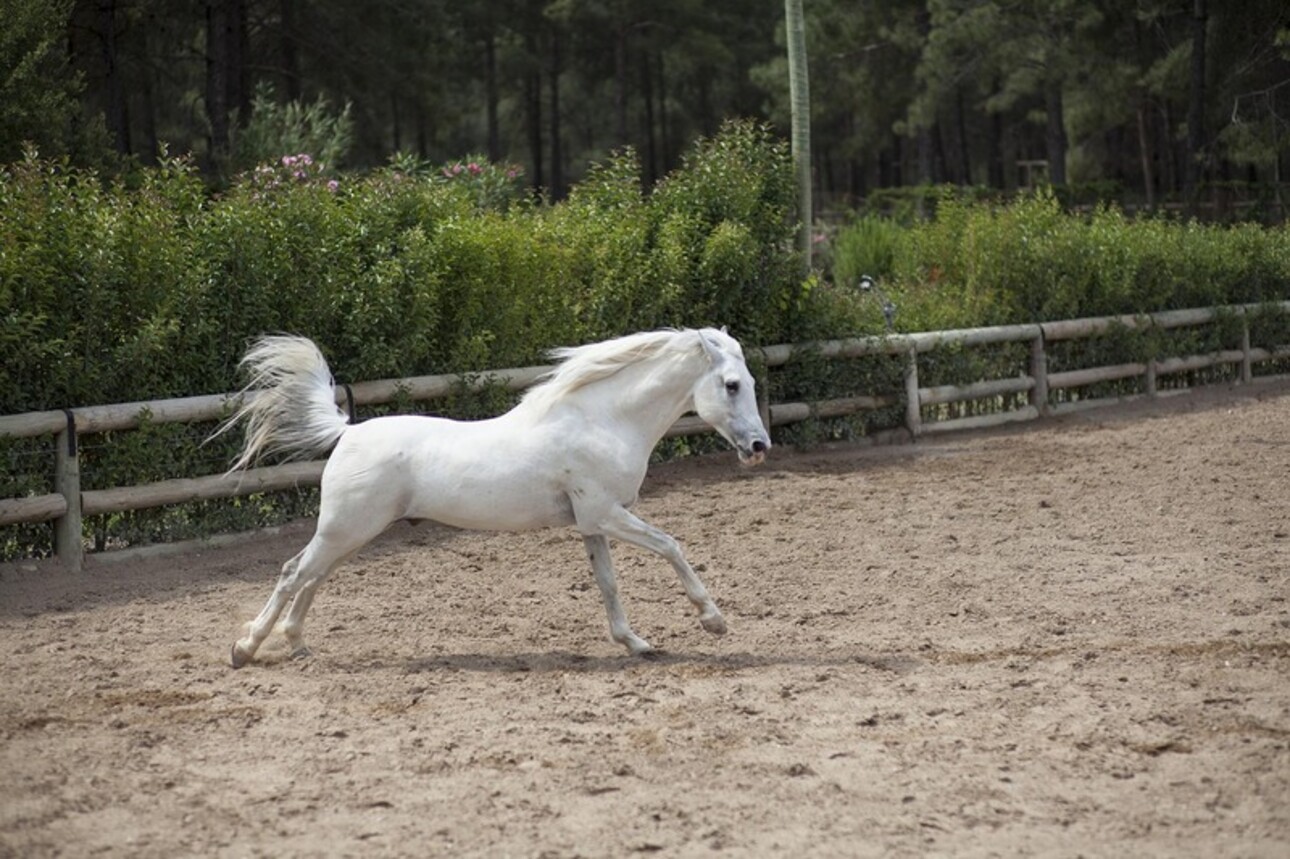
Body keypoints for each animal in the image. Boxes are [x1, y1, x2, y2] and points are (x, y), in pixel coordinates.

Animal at [216, 325, 768, 665]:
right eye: (732, 385)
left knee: (312, 577)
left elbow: (608, 584)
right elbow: (672, 546)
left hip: (350, 533)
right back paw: (246, 649)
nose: (760, 447)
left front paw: (635, 643)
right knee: (293, 573)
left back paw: (297, 644)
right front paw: (714, 622)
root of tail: (347, 432)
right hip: (345, 529)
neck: (602, 421)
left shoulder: (592, 524)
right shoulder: (607, 514)